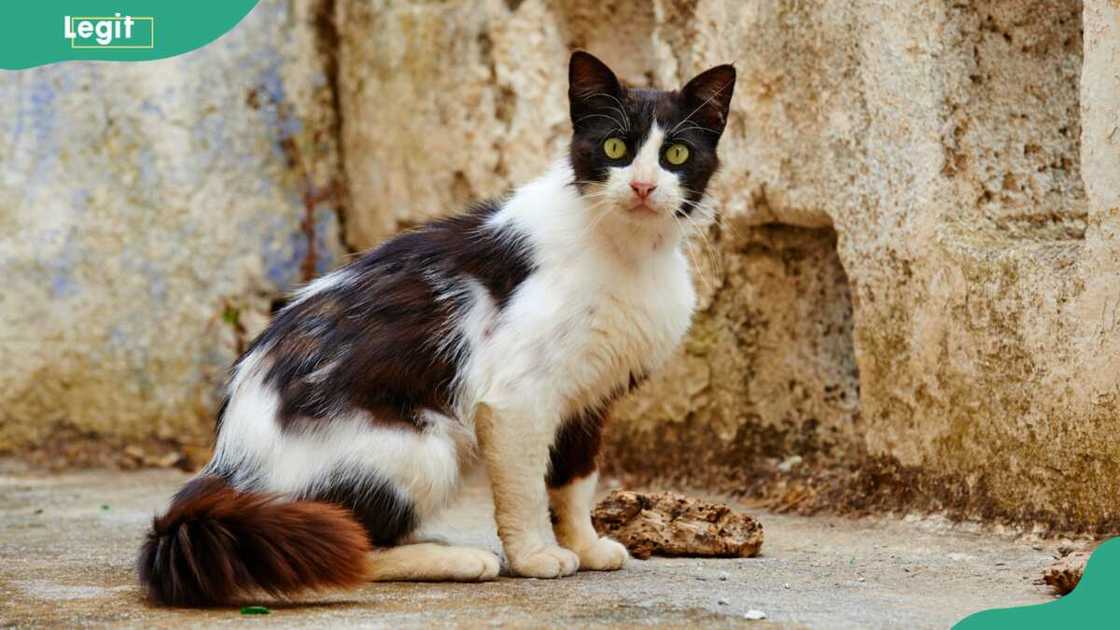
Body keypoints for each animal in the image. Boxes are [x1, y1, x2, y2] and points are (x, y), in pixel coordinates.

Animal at [137, 50, 734, 605]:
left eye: (676, 154)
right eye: (615, 149)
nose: (642, 187)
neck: (629, 250)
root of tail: (226, 467)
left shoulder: (589, 396)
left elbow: (575, 479)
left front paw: (585, 546)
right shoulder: (515, 399)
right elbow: (524, 486)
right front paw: (537, 556)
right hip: (419, 447)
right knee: (346, 545)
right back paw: (455, 559)